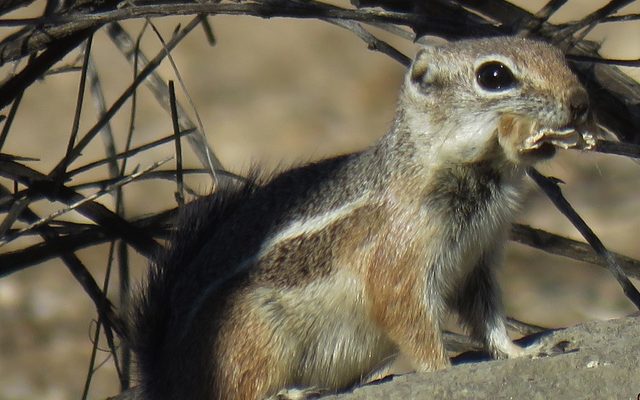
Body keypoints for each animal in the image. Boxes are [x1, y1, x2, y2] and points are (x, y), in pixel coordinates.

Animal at [129, 36, 595, 400]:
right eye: (494, 76)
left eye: (557, 55)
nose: (580, 102)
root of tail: (167, 378)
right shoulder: (400, 257)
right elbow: (410, 321)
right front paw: (443, 371)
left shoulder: (478, 261)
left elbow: (489, 318)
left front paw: (524, 352)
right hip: (253, 337)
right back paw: (292, 391)